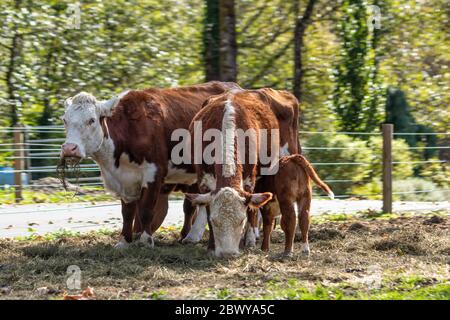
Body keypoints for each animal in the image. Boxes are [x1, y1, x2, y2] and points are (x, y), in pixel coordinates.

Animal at [62, 81, 243, 249]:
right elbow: (127, 212)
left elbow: (146, 210)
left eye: (91, 120)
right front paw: (124, 241)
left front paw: (146, 240)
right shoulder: (124, 180)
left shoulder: (154, 173)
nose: (69, 148)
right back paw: (191, 235)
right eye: (65, 120)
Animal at [185, 88, 300, 258]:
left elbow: (251, 209)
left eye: (241, 220)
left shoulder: (249, 180)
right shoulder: (204, 179)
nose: (228, 253)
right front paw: (211, 246)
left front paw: (249, 240)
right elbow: (206, 208)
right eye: (215, 221)